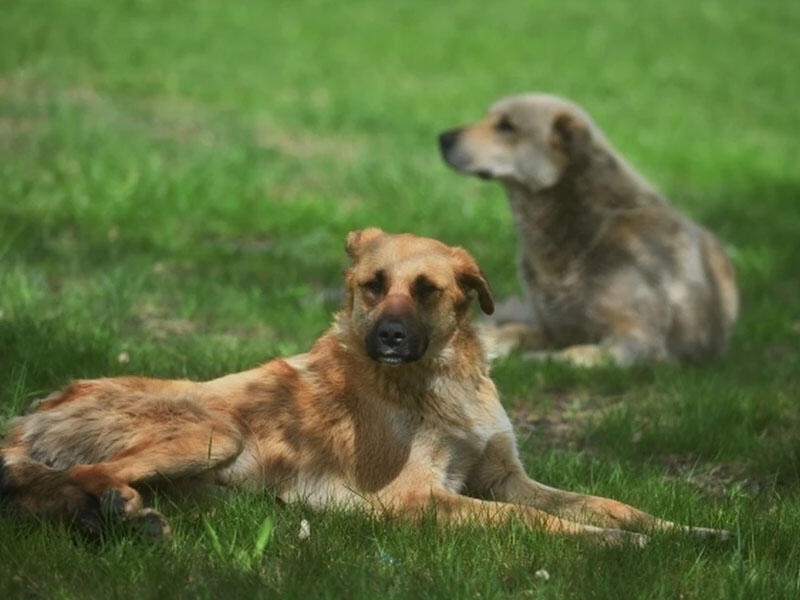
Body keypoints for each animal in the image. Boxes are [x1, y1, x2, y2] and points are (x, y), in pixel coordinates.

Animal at [0, 229, 724, 544]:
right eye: (373, 286)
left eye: (427, 290)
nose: (391, 338)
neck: (439, 381)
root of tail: (35, 411)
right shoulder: (419, 498)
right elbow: (533, 520)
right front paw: (611, 546)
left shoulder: (504, 475)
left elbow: (607, 503)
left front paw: (683, 530)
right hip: (212, 429)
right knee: (78, 475)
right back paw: (118, 512)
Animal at [438, 94, 736, 366]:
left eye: (506, 126)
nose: (443, 138)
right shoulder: (551, 326)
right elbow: (513, 331)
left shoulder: (637, 341)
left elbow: (567, 356)